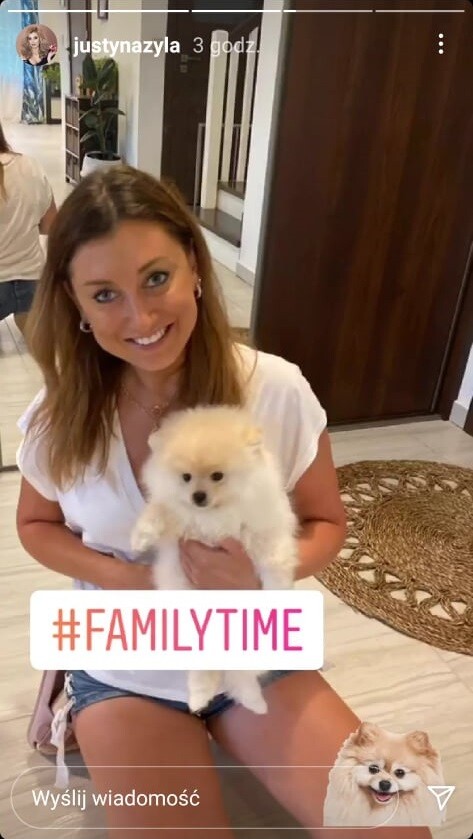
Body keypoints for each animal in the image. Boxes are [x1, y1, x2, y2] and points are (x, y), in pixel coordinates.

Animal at [131, 405, 298, 715]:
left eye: (218, 476)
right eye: (186, 477)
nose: (198, 496)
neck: (215, 513)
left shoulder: (262, 530)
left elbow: (273, 564)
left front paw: (276, 590)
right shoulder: (175, 514)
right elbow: (157, 510)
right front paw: (140, 538)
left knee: (242, 672)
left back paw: (254, 702)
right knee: (206, 671)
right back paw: (201, 698)